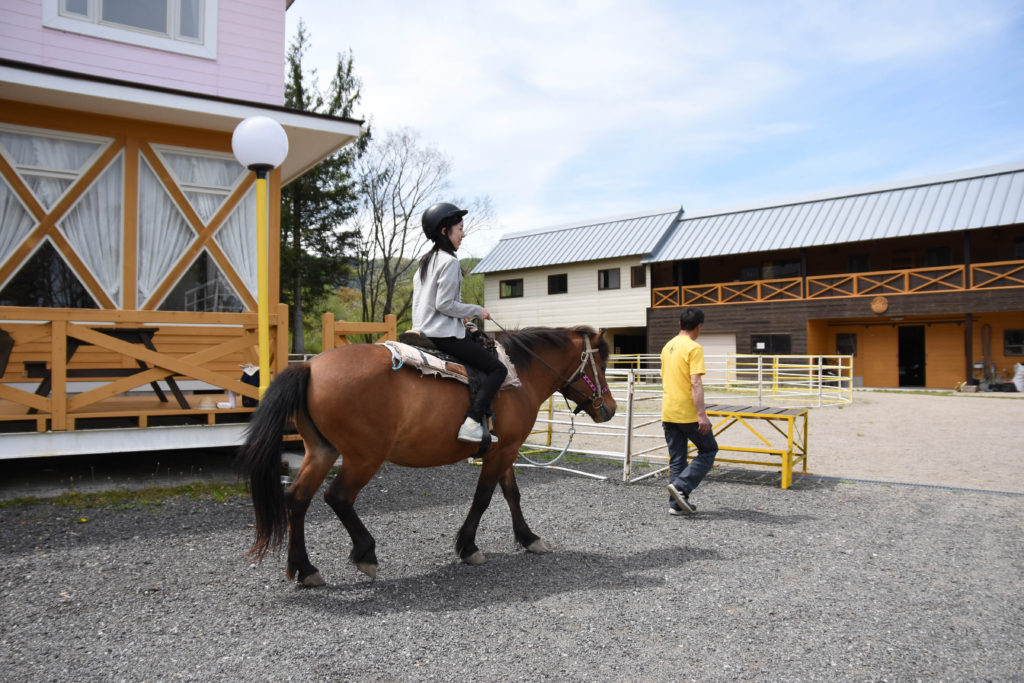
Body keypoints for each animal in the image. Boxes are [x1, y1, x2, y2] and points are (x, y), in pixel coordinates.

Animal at [234, 325, 614, 589]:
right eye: (601, 363)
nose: (609, 409)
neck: (518, 374)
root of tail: (310, 368)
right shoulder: (502, 451)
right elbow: (483, 498)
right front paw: (468, 547)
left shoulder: (505, 449)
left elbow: (511, 494)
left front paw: (529, 537)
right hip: (363, 458)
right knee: (337, 497)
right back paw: (365, 553)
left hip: (322, 452)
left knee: (297, 499)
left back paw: (305, 569)